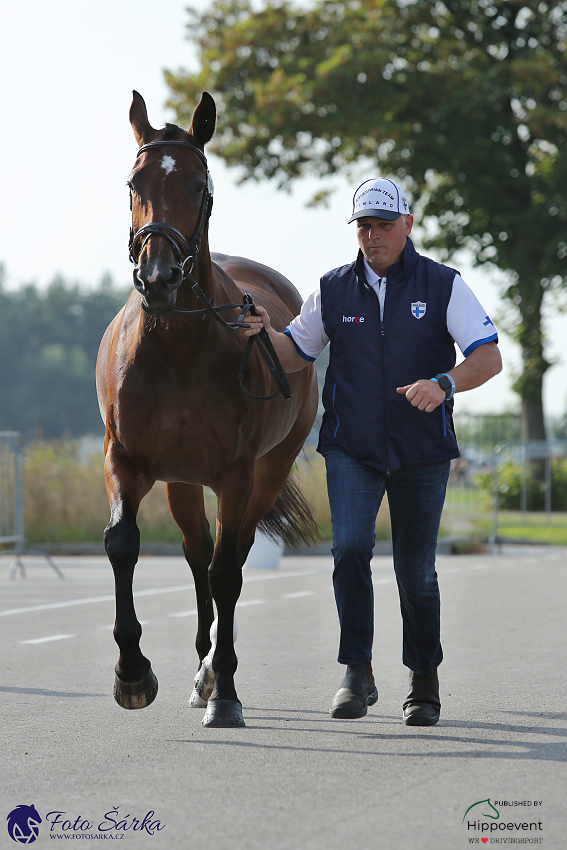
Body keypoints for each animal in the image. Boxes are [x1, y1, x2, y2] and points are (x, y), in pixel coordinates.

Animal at [97, 93, 320, 724]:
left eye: (200, 187)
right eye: (134, 182)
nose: (158, 277)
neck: (178, 346)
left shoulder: (236, 472)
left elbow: (227, 571)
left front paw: (226, 694)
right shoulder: (126, 460)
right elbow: (124, 545)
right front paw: (132, 674)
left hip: (267, 469)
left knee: (231, 560)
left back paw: (217, 675)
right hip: (181, 479)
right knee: (198, 555)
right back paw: (201, 668)